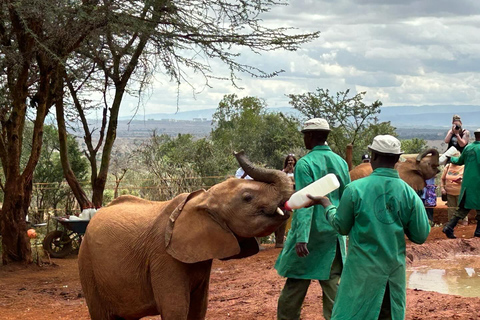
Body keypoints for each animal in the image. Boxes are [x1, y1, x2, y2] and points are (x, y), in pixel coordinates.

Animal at [79, 152, 292, 318]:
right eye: (247, 198)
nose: (237, 150)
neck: (203, 199)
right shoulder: (163, 257)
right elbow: (176, 309)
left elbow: (199, 308)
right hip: (87, 264)